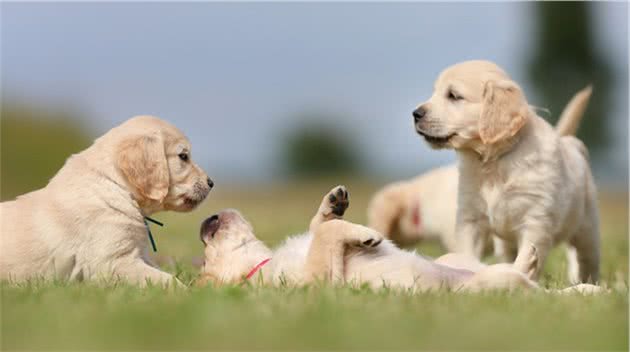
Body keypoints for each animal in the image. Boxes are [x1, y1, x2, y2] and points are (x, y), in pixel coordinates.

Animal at [0, 115, 215, 286]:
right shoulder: (112, 262)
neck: (115, 186)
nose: (211, 183)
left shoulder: (138, 255)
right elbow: (165, 279)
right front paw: (186, 293)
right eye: (183, 156)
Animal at [198, 186, 604, 292]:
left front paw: (334, 203)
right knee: (529, 286)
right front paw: (368, 236)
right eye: (204, 263)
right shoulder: (319, 284)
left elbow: (320, 225)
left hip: (454, 259)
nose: (206, 221)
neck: (262, 267)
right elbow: (327, 233)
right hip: (485, 287)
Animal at [414, 58, 604, 284]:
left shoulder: (535, 223)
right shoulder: (470, 219)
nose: (415, 114)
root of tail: (570, 142)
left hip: (587, 230)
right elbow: (466, 254)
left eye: (453, 95)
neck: (494, 162)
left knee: (587, 260)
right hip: (506, 244)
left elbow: (524, 259)